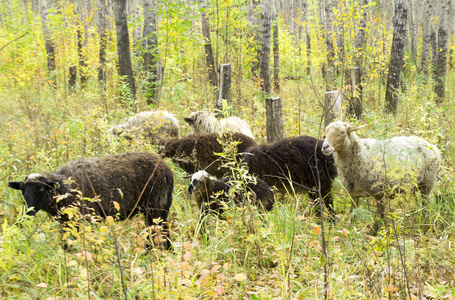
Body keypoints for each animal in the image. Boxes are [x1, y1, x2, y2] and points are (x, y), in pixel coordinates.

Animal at [7, 152, 175, 248]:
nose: (28, 213)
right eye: (22, 191)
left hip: (157, 206)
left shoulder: (86, 219)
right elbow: (67, 244)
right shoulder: (65, 223)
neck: (63, 188)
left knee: (161, 231)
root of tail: (166, 168)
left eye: (41, 189)